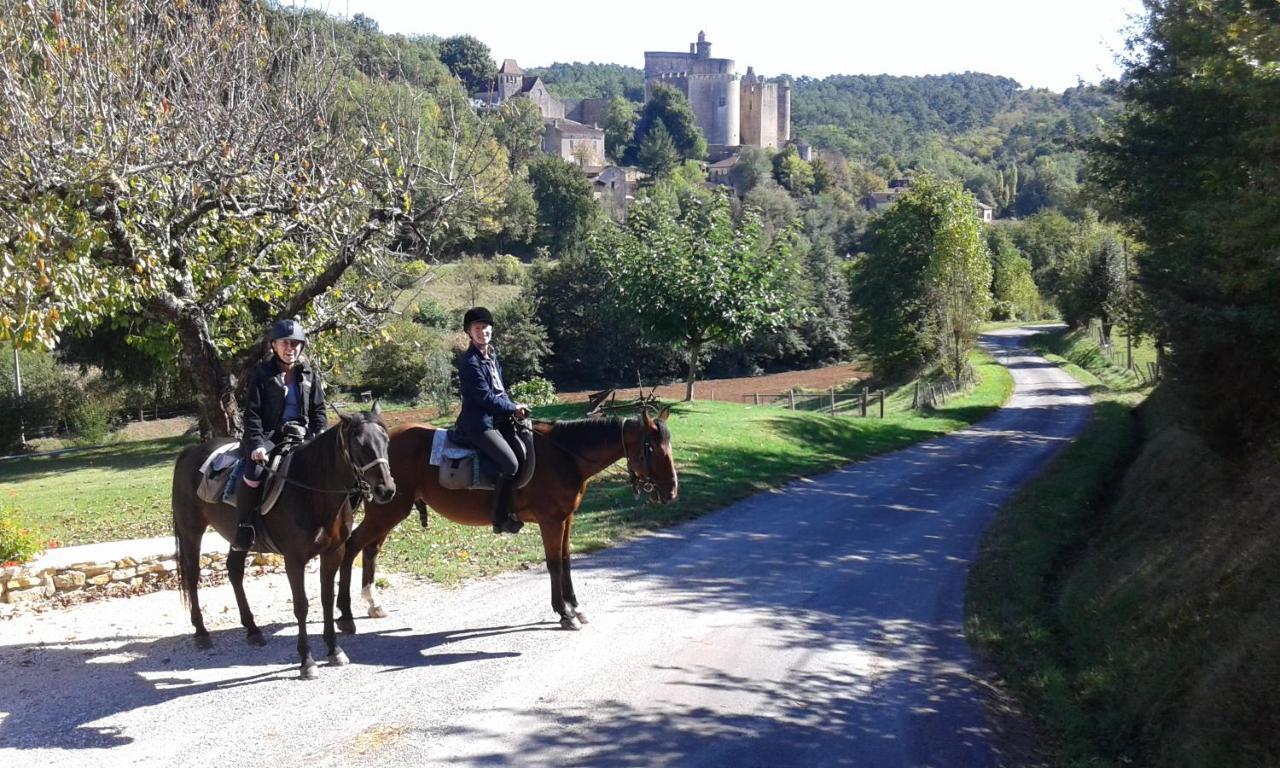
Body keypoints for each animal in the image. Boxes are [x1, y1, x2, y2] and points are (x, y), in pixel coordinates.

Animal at [168, 407, 394, 675]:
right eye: (359, 444)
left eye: (386, 440)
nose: (386, 490)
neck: (312, 490)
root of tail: (189, 452)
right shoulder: (294, 559)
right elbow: (301, 605)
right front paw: (307, 661)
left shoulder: (333, 552)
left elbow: (326, 599)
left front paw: (334, 650)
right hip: (191, 531)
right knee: (192, 577)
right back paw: (202, 632)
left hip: (238, 539)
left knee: (234, 571)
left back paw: (252, 629)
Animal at [337, 407, 680, 629]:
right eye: (651, 447)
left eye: (669, 445)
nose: (671, 490)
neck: (564, 455)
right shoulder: (551, 521)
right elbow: (554, 564)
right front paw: (564, 613)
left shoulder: (566, 519)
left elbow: (567, 561)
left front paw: (576, 607)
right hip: (387, 509)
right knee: (353, 546)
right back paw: (344, 612)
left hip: (389, 509)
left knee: (371, 549)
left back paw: (373, 604)